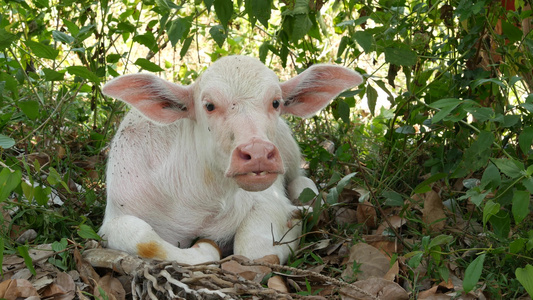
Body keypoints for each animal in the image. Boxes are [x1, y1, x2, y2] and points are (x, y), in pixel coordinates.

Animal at [98, 55, 362, 264]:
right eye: (209, 105)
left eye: (276, 102)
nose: (258, 153)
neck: (201, 202)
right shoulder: (115, 216)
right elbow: (143, 240)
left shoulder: (268, 200)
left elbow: (253, 251)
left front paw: (296, 219)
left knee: (301, 180)